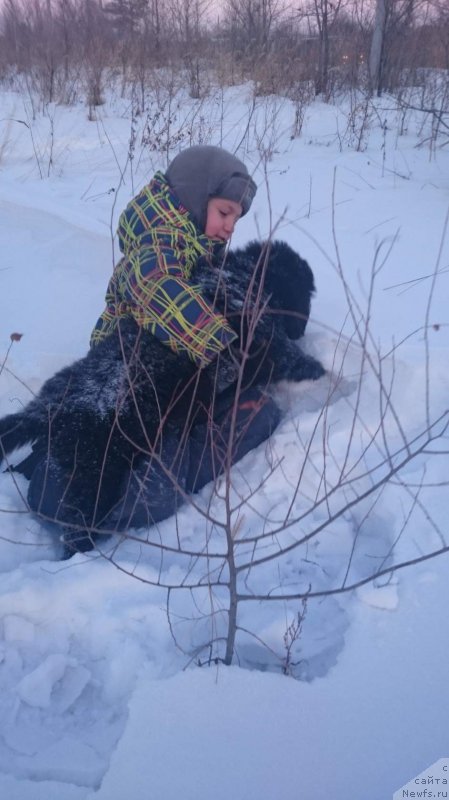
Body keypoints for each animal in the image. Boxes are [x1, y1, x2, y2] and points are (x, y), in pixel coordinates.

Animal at [0, 241, 322, 552]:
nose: (303, 326)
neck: (245, 276)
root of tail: (49, 407)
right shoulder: (263, 339)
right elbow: (288, 357)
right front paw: (320, 370)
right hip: (93, 477)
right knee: (77, 529)